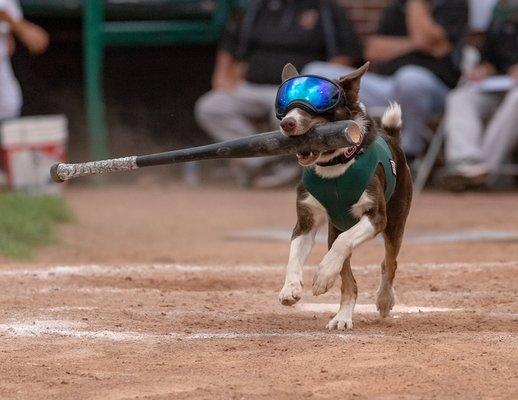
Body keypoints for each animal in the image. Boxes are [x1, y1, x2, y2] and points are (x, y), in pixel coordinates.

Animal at [276, 62, 414, 330]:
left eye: (318, 102)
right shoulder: (306, 221)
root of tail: (392, 136)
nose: (287, 123)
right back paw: (342, 317)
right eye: (285, 106)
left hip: (395, 221)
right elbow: (294, 256)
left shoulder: (376, 217)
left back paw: (383, 300)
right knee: (349, 279)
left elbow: (344, 244)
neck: (335, 166)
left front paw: (322, 276)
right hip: (336, 226)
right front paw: (291, 288)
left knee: (388, 263)